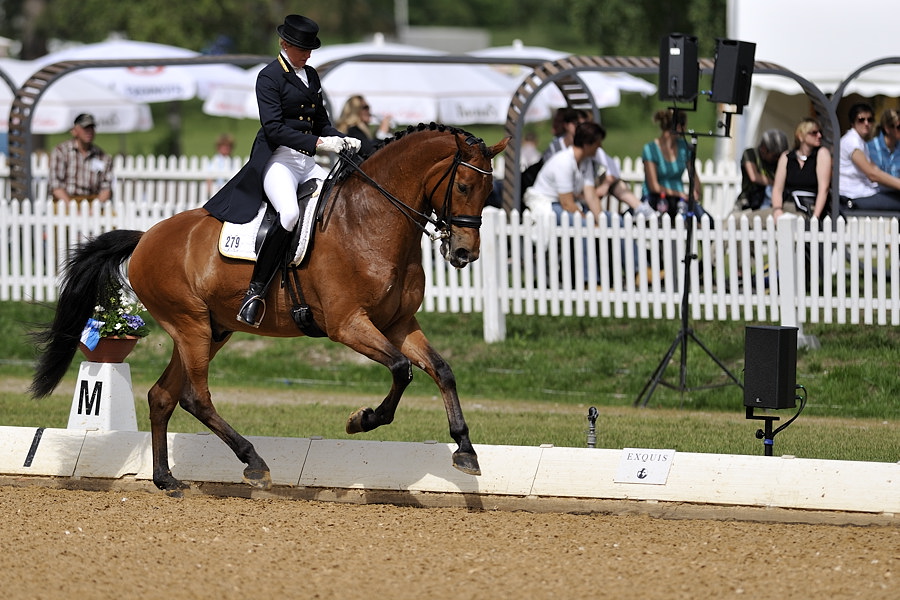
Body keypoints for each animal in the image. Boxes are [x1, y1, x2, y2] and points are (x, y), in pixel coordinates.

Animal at [30, 123, 509, 494]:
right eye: (463, 186)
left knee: (163, 395)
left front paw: (466, 451)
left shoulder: (399, 324)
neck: (371, 220)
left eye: (489, 192)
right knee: (195, 397)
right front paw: (362, 420)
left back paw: (166, 479)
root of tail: (146, 236)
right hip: (191, 326)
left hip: (210, 330)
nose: (464, 253)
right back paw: (253, 462)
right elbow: (401, 370)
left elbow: (441, 369)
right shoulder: (349, 325)